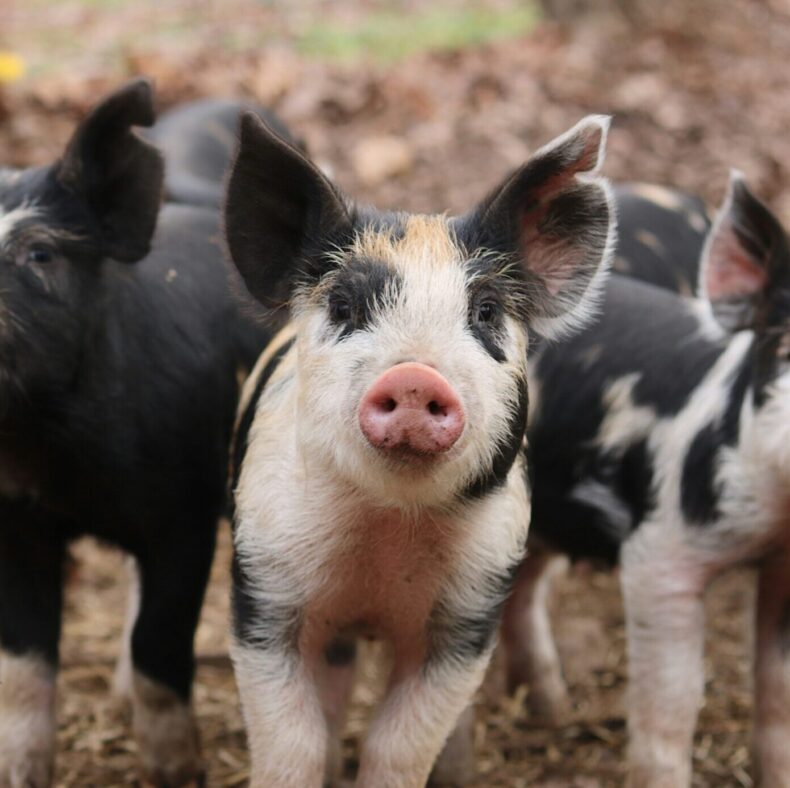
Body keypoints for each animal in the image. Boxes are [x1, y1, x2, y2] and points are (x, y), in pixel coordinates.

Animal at [0, 80, 268, 787]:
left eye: (40, 254)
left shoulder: (185, 513)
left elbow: (160, 642)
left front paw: (178, 774)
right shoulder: (15, 522)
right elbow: (24, 662)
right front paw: (20, 775)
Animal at [223, 112, 616, 787]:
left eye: (485, 311)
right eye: (343, 305)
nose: (415, 378)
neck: (386, 533)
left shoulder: (471, 610)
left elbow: (400, 744)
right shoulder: (264, 583)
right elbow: (292, 743)